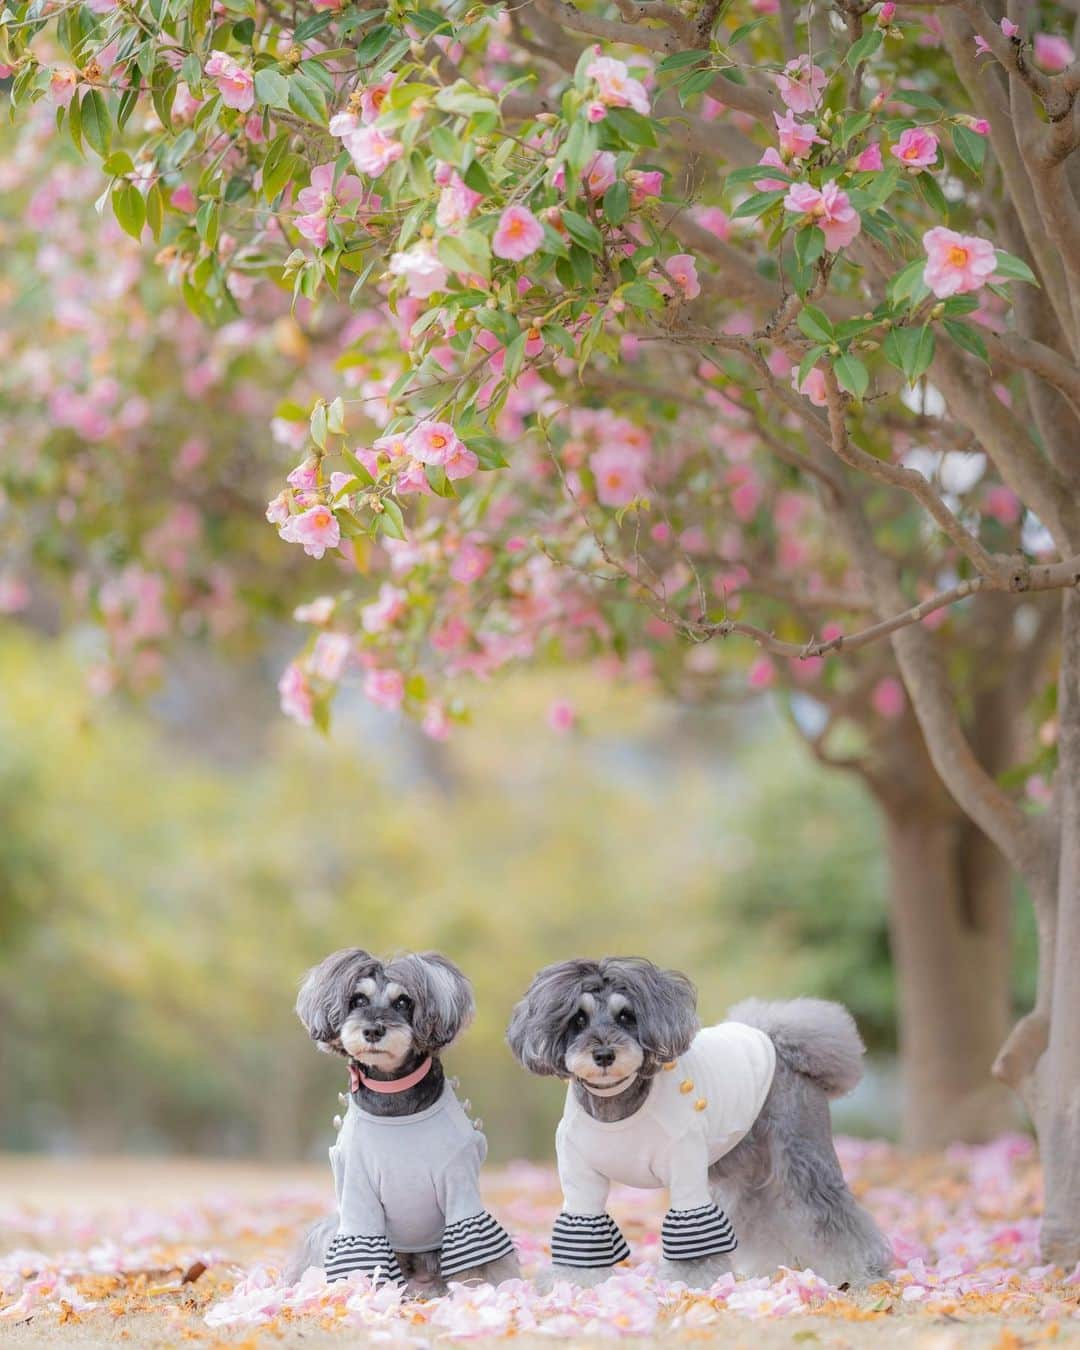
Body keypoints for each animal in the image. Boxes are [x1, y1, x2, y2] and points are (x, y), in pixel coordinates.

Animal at [288, 950, 521, 1296]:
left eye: (402, 1002)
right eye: (358, 1000)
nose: (373, 1030)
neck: (393, 1092)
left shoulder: (460, 1184)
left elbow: (476, 1259)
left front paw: (477, 1292)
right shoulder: (357, 1189)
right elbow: (360, 1258)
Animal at [510, 955, 891, 1290]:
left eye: (626, 1016)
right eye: (577, 1019)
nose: (604, 1054)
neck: (617, 1102)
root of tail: (776, 1039)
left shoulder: (685, 1165)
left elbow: (693, 1235)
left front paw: (689, 1282)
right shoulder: (580, 1177)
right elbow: (582, 1231)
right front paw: (573, 1281)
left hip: (803, 1156)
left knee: (832, 1215)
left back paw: (861, 1271)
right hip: (745, 1168)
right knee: (760, 1217)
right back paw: (766, 1270)